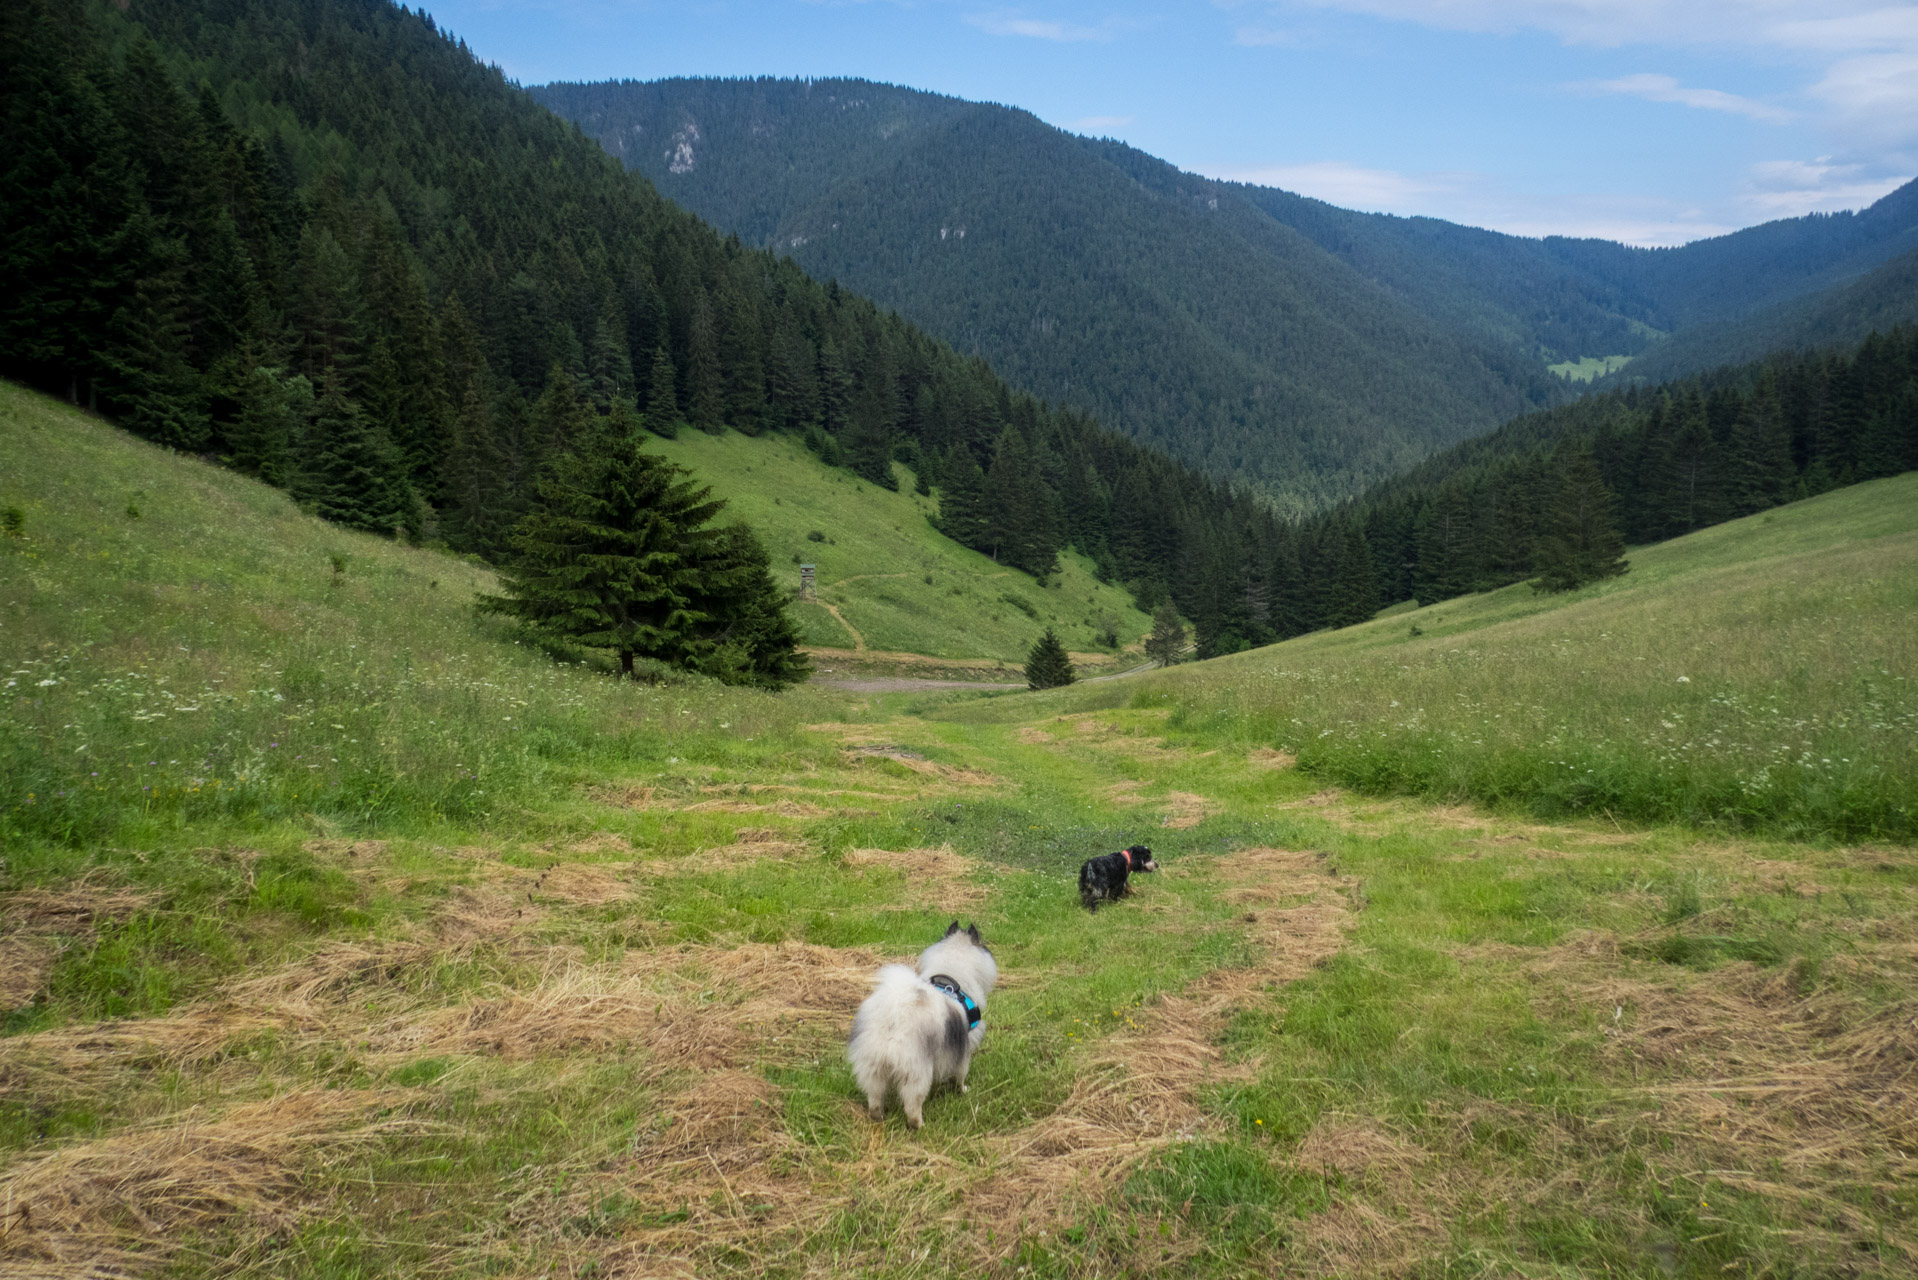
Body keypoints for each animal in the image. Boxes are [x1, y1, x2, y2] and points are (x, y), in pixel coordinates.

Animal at [855, 921, 1005, 1128]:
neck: (951, 977)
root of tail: (894, 1017)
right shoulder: (963, 1049)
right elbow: (961, 1074)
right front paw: (963, 1090)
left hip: (873, 1067)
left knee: (875, 1097)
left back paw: (878, 1117)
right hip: (917, 1072)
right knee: (912, 1104)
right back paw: (919, 1126)